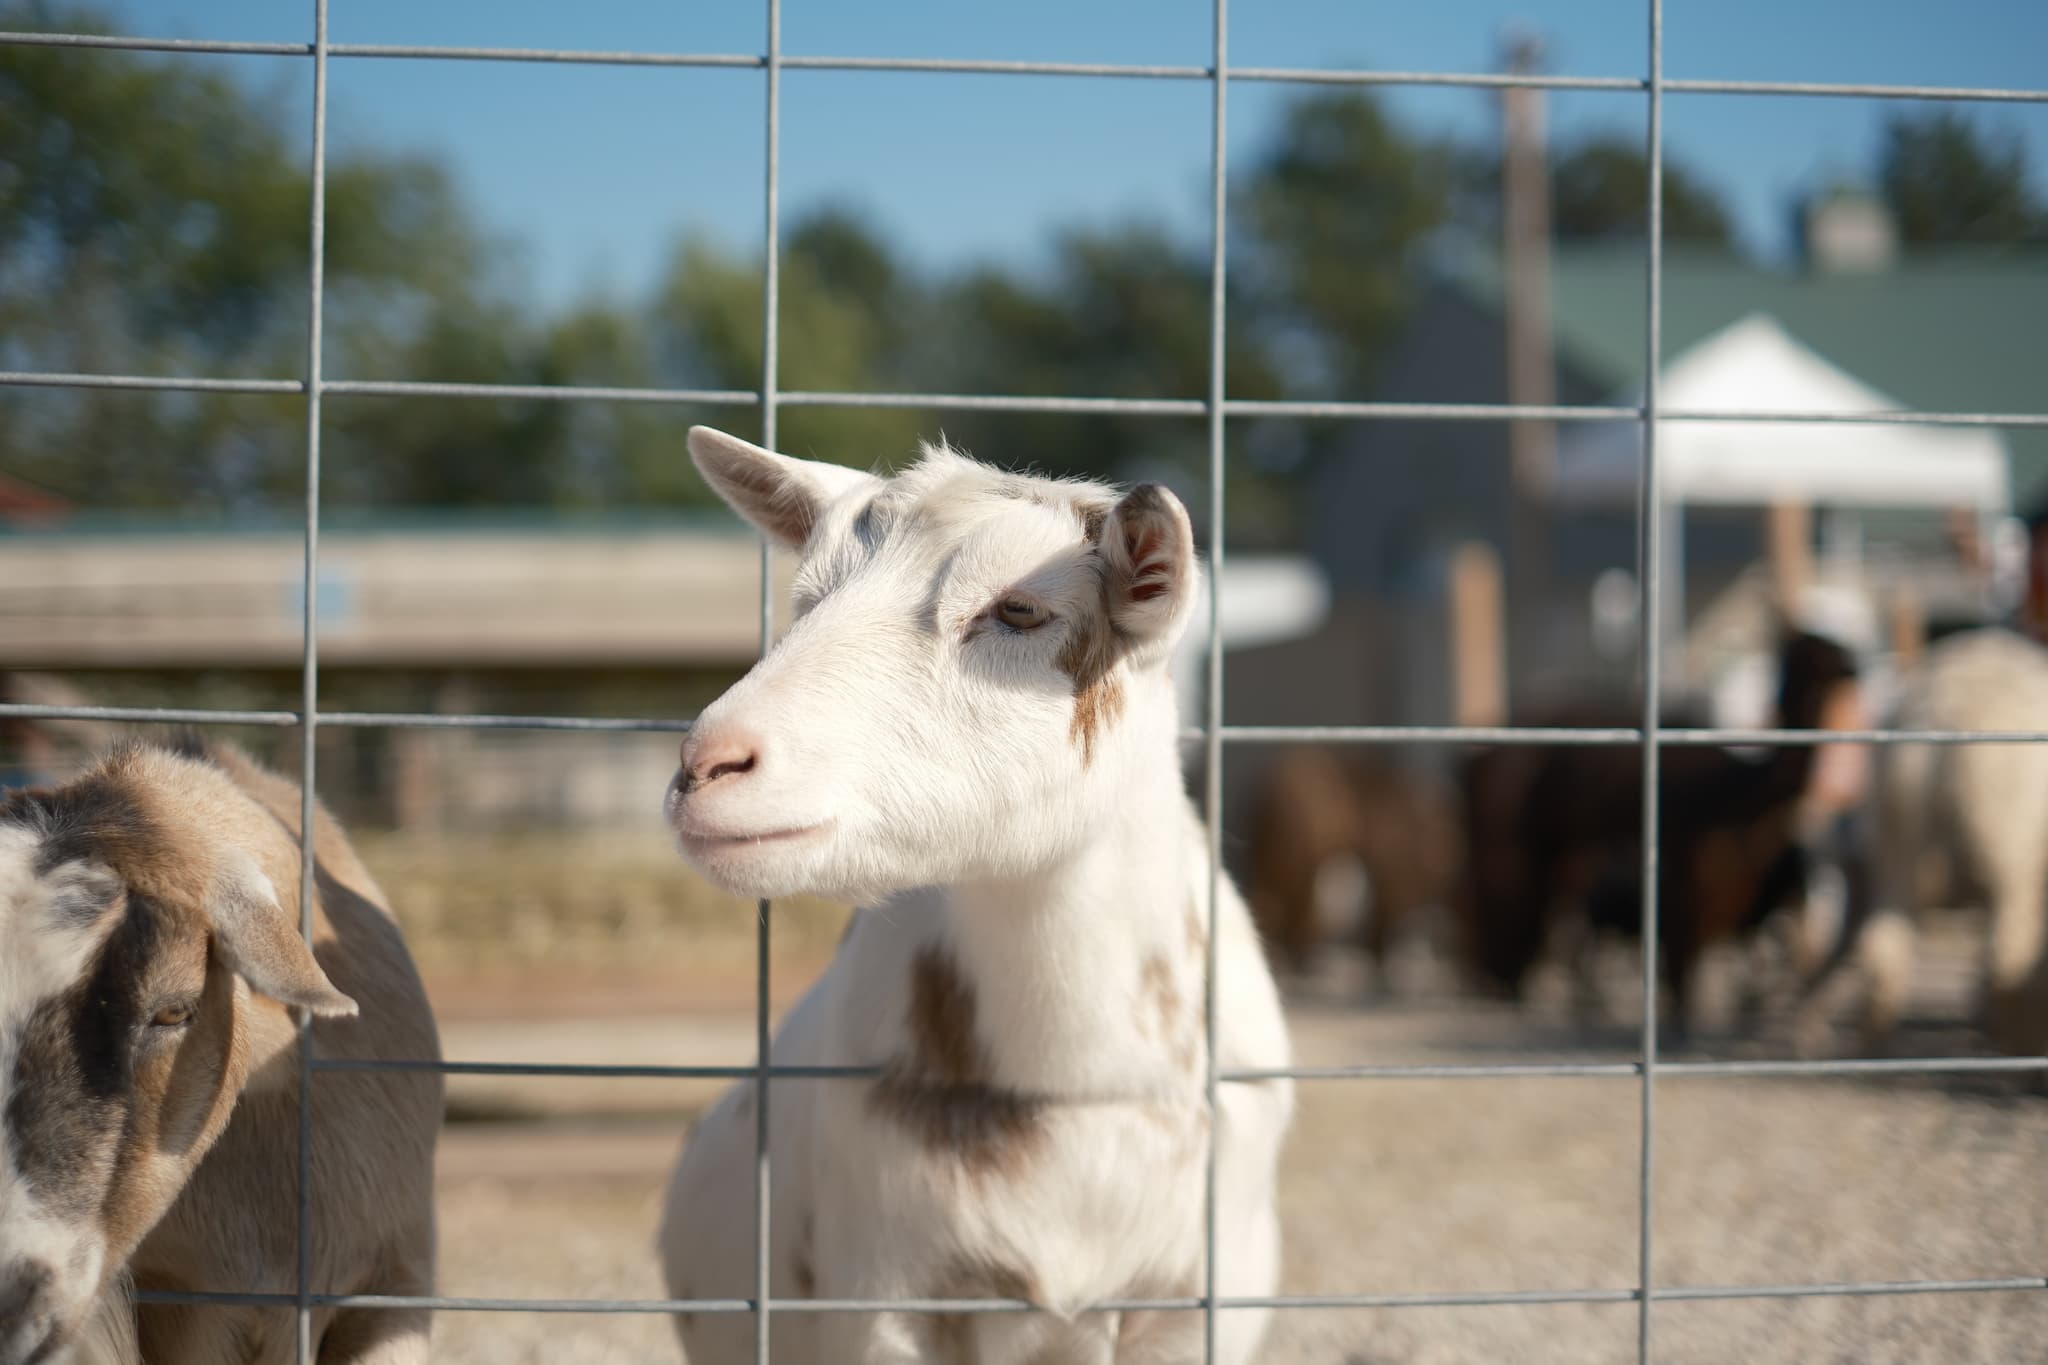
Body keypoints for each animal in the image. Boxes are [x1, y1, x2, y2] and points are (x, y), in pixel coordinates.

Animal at [659, 429, 1294, 1365]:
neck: (1072, 1087)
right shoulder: (884, 1296)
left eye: (1019, 610)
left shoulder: (1194, 1304)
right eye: (807, 597)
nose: (708, 765)